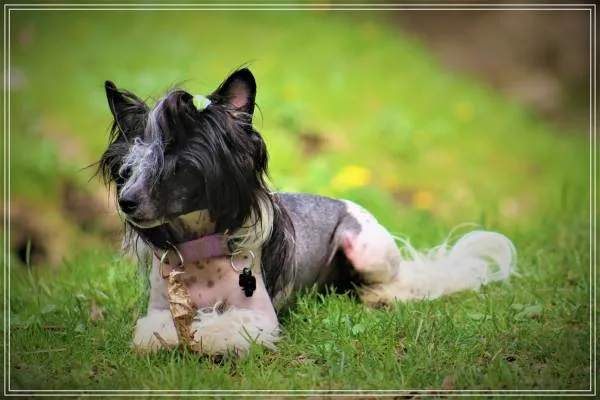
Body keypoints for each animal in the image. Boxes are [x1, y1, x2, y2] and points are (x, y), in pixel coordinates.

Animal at [98, 68, 516, 356]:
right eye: (128, 169)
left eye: (177, 165)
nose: (127, 201)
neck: (202, 248)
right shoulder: (158, 309)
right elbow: (155, 332)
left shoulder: (259, 316)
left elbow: (225, 327)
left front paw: (208, 332)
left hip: (367, 250)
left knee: (400, 282)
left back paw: (381, 295)